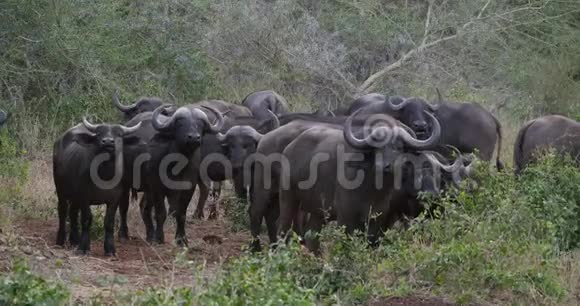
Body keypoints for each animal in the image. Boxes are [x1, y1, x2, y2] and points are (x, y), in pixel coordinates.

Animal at [53, 117, 142, 256]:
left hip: (74, 197)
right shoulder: (84, 197)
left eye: (119, 134)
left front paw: (110, 249)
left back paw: (74, 239)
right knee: (62, 212)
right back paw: (61, 240)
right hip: (61, 190)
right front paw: (84, 247)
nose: (108, 141)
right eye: (99, 133)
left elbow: (109, 222)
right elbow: (87, 219)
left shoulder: (114, 199)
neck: (104, 176)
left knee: (73, 213)